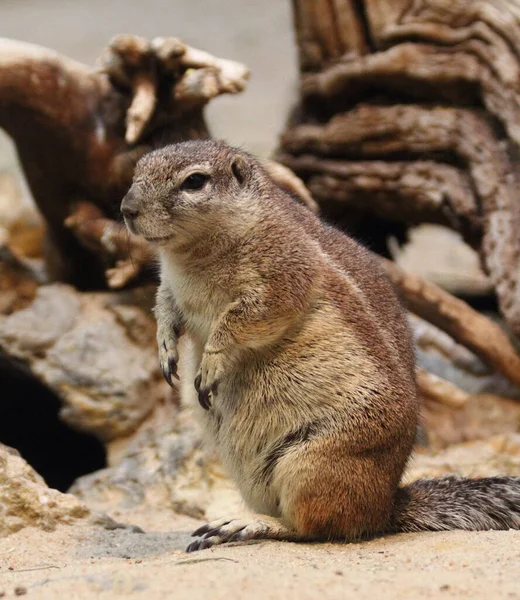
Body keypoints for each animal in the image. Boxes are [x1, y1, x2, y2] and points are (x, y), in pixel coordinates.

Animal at [123, 138, 520, 552]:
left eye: (194, 181)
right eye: (138, 169)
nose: (126, 210)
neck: (190, 256)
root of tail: (385, 505)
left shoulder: (280, 278)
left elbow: (241, 322)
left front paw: (211, 363)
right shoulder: (170, 286)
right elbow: (164, 307)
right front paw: (165, 348)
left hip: (312, 463)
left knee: (316, 527)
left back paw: (245, 525)